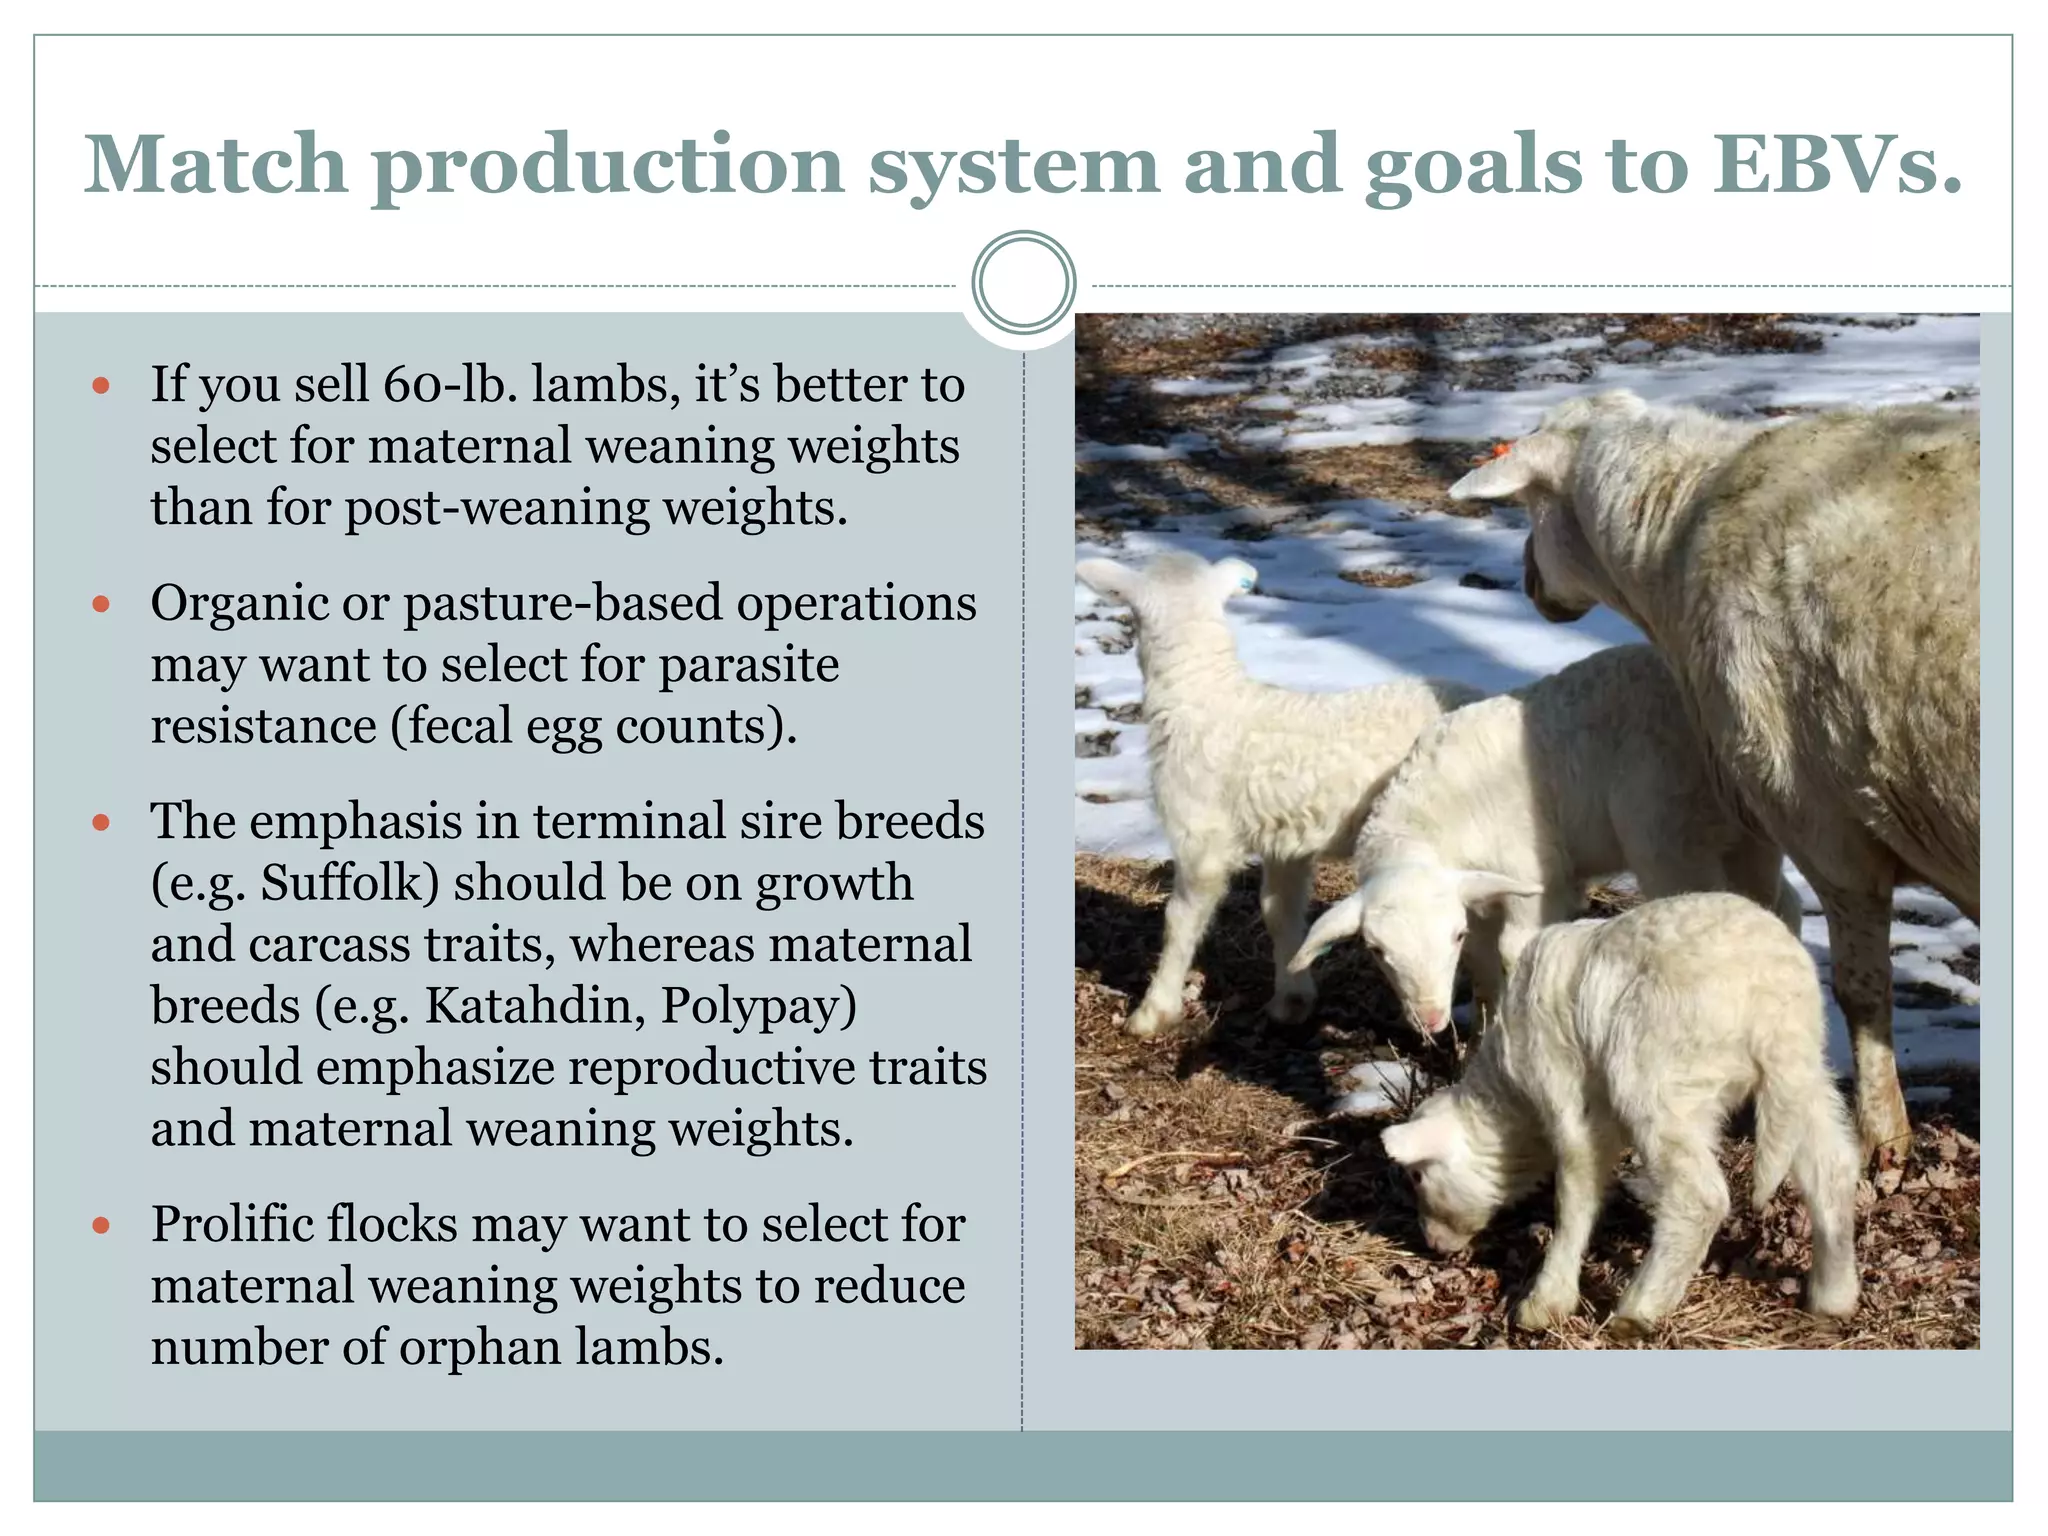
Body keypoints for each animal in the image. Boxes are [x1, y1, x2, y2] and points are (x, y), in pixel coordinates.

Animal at [1075, 551, 1482, 1037]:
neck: (1205, 692)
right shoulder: (1287, 843)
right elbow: (1280, 911)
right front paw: (1293, 997)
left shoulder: (1200, 833)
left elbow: (1180, 919)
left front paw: (1154, 1011)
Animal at [1289, 643, 1803, 1038]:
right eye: (1377, 951)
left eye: (1451, 935)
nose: (1431, 1020)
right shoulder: (1478, 893)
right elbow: (1483, 968)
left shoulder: (1533, 879)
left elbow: (1516, 950)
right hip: (1749, 835)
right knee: (1778, 901)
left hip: (1668, 833)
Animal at [1383, 891, 1862, 1336]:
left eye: (1418, 1176)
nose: (1432, 1243)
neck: (1512, 1103)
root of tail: (1773, 1001)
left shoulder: (1563, 1089)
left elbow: (1575, 1192)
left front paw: (1546, 1302)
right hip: (1803, 1075)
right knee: (1832, 1168)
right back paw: (1833, 1295)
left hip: (1657, 1073)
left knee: (1699, 1197)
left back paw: (1639, 1309)